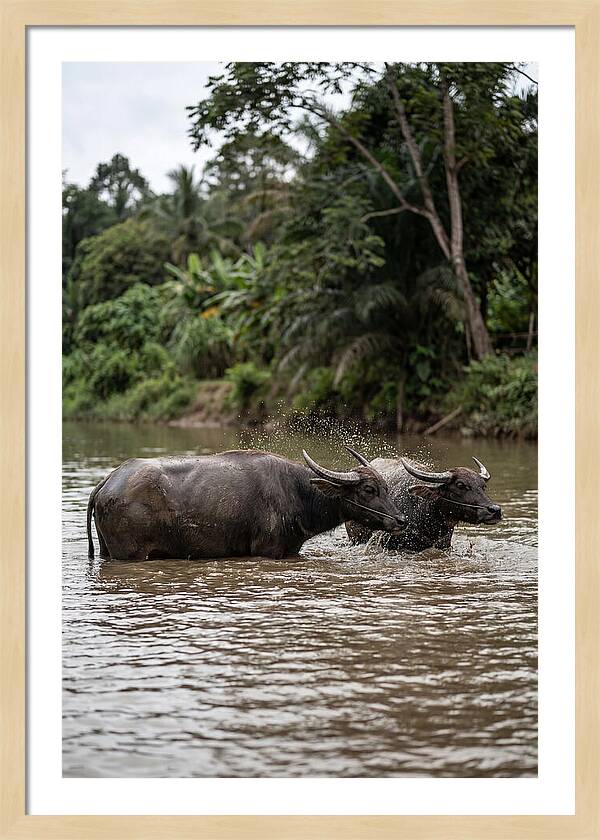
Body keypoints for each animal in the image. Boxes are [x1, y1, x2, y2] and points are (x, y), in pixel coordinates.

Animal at [87, 447, 406, 561]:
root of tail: (108, 481)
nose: (401, 520)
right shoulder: (267, 550)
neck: (297, 492)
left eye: (387, 487)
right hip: (131, 554)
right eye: (369, 489)